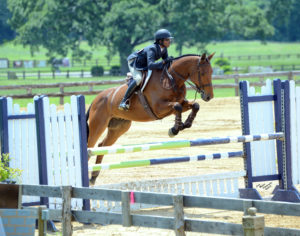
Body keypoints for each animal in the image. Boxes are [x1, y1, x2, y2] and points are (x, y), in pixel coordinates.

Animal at [85, 53, 214, 184]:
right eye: (203, 73)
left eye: (212, 72)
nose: (209, 96)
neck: (172, 79)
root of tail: (96, 99)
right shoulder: (159, 108)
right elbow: (177, 107)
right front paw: (174, 130)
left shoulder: (180, 104)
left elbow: (194, 106)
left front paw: (185, 124)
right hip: (98, 125)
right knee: (89, 145)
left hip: (118, 128)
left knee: (101, 146)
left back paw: (93, 176)